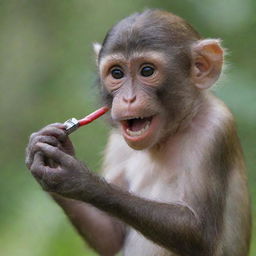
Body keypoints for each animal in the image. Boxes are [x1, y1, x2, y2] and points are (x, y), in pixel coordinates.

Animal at [25, 9, 250, 256]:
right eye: (117, 73)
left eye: (147, 71)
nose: (128, 99)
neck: (167, 136)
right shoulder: (117, 143)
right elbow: (110, 236)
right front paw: (44, 146)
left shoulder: (215, 129)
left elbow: (201, 235)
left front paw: (78, 179)